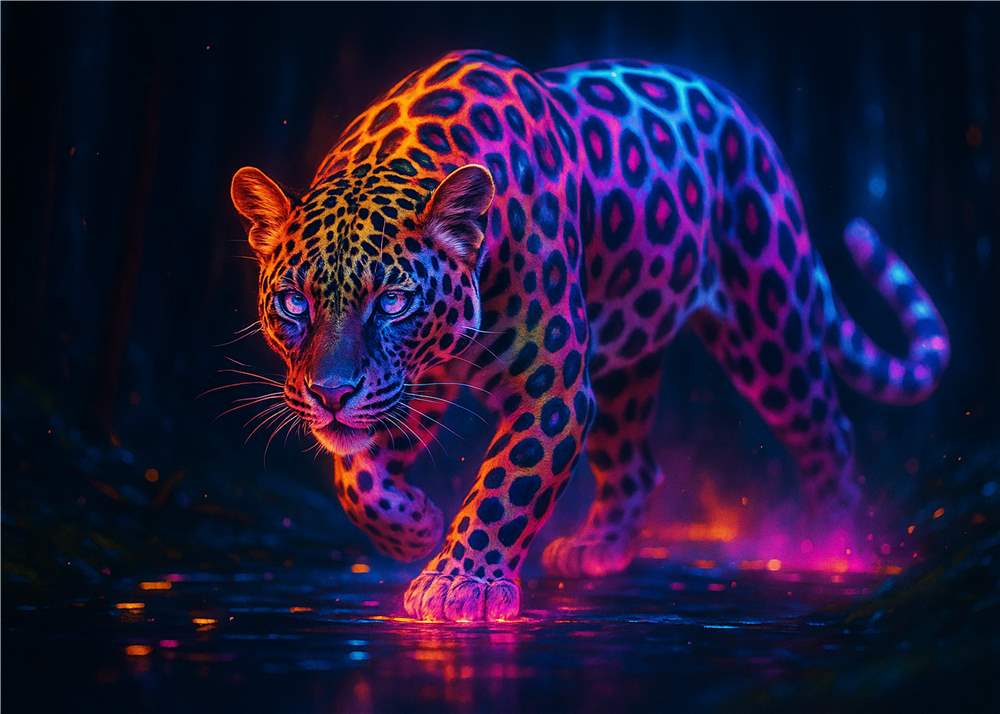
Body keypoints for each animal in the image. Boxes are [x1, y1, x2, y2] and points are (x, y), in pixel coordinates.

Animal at [230, 49, 949, 622]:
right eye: (294, 302)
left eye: (394, 301)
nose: (331, 394)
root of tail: (743, 115)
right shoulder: (411, 387)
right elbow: (357, 477)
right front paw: (413, 527)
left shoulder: (551, 389)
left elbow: (507, 487)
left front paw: (459, 583)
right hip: (626, 359)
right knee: (636, 465)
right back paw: (598, 548)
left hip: (768, 317)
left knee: (826, 430)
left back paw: (837, 543)